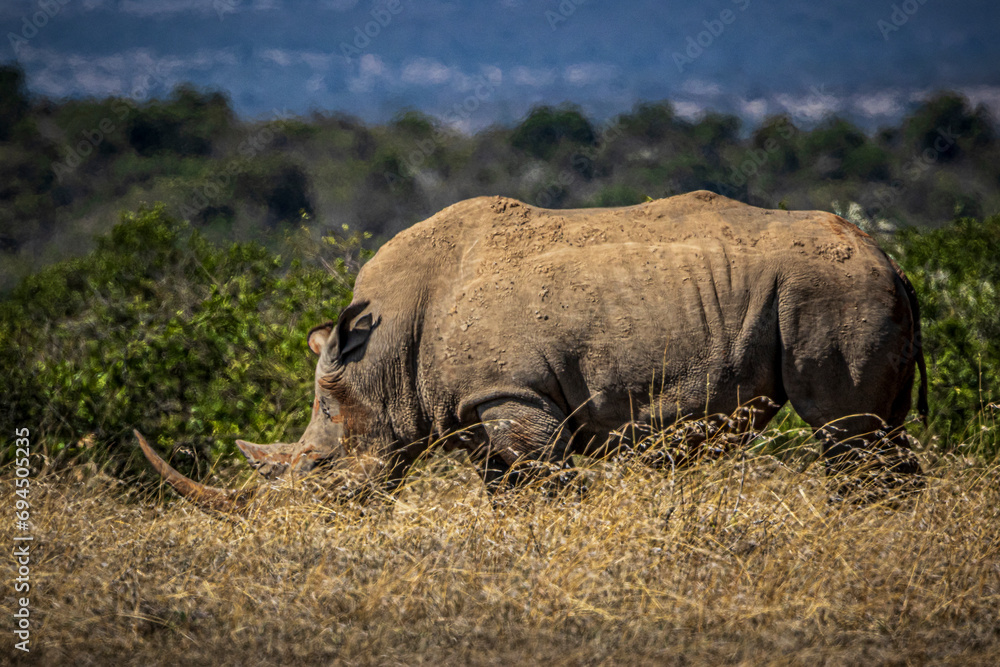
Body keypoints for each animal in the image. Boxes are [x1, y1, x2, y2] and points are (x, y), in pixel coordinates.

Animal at [137, 191, 927, 511]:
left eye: (320, 469)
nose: (298, 526)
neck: (382, 355)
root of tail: (890, 259)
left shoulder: (515, 398)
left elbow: (547, 489)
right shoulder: (478, 412)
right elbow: (507, 499)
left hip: (830, 290)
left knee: (846, 434)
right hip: (845, 289)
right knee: (882, 436)